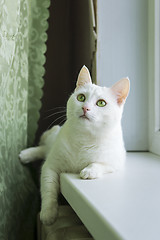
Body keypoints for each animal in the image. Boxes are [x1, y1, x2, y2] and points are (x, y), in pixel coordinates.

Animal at [19, 65, 130, 225]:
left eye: (101, 103)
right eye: (81, 97)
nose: (85, 108)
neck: (84, 139)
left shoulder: (116, 161)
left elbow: (100, 163)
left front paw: (89, 171)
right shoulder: (50, 166)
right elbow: (48, 190)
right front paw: (48, 214)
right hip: (53, 144)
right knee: (45, 147)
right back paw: (26, 154)